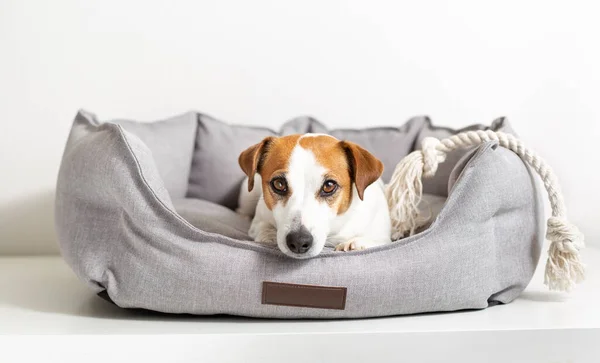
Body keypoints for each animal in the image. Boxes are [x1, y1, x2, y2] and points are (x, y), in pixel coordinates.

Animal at [237, 134, 392, 258]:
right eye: (279, 184)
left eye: (329, 186)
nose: (299, 241)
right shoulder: (259, 219)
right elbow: (262, 228)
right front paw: (269, 235)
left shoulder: (383, 236)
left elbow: (377, 241)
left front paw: (356, 243)